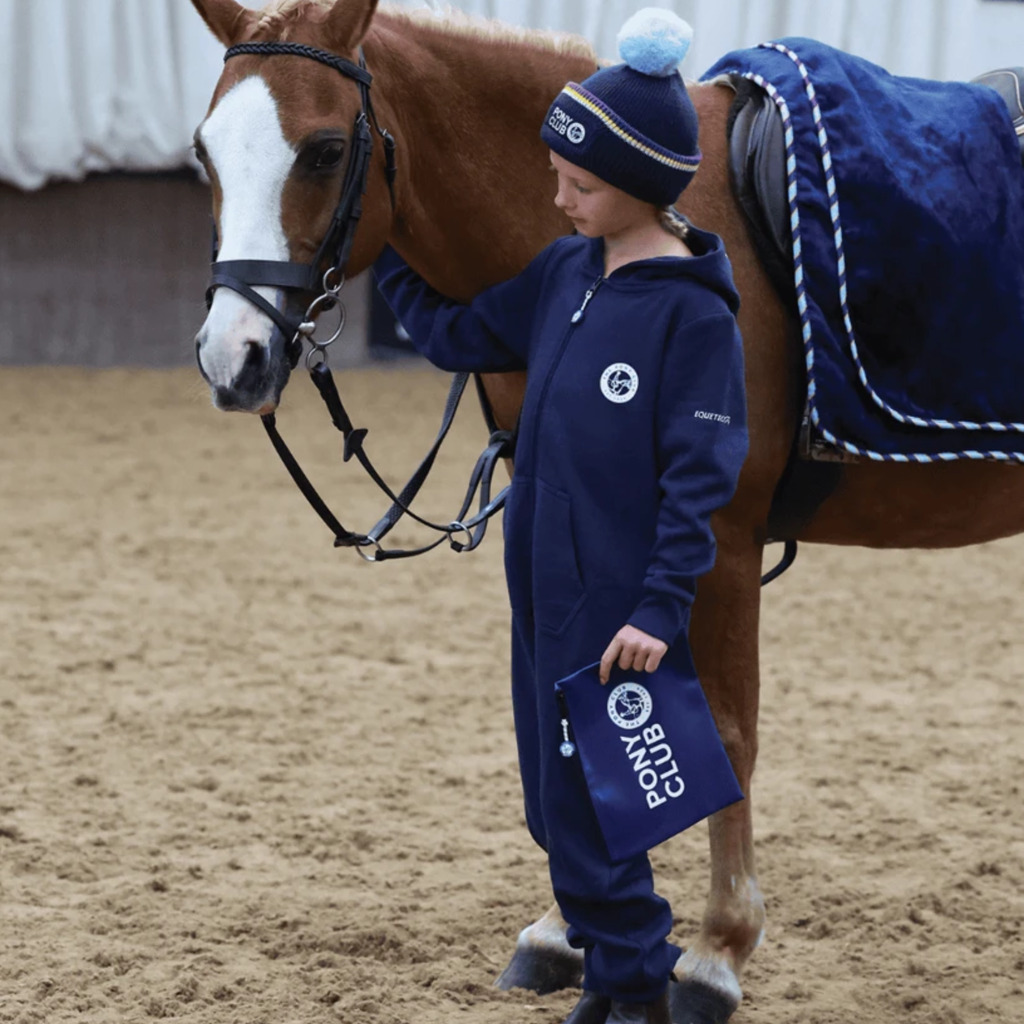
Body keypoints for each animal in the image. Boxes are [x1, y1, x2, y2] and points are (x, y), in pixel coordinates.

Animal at [188, 0, 1024, 1019]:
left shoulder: (719, 542)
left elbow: (723, 732)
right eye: (203, 153)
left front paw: (716, 952)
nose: (233, 358)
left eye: (322, 149)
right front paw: (564, 933)